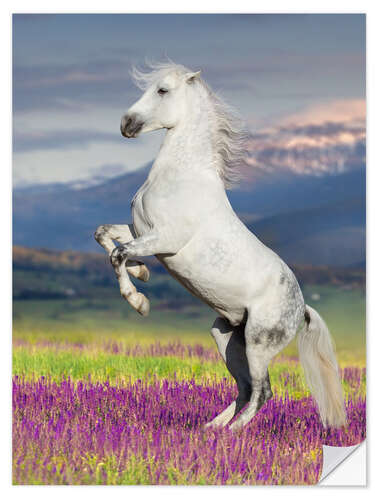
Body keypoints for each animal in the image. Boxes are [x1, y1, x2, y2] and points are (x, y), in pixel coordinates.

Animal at [95, 61, 348, 430]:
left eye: (162, 90)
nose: (126, 124)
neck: (180, 176)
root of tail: (301, 308)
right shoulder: (140, 230)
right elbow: (104, 234)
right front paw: (142, 273)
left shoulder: (165, 239)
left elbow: (118, 253)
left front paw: (139, 301)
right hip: (226, 336)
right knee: (244, 387)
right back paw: (211, 429)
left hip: (258, 343)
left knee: (263, 391)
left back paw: (234, 432)